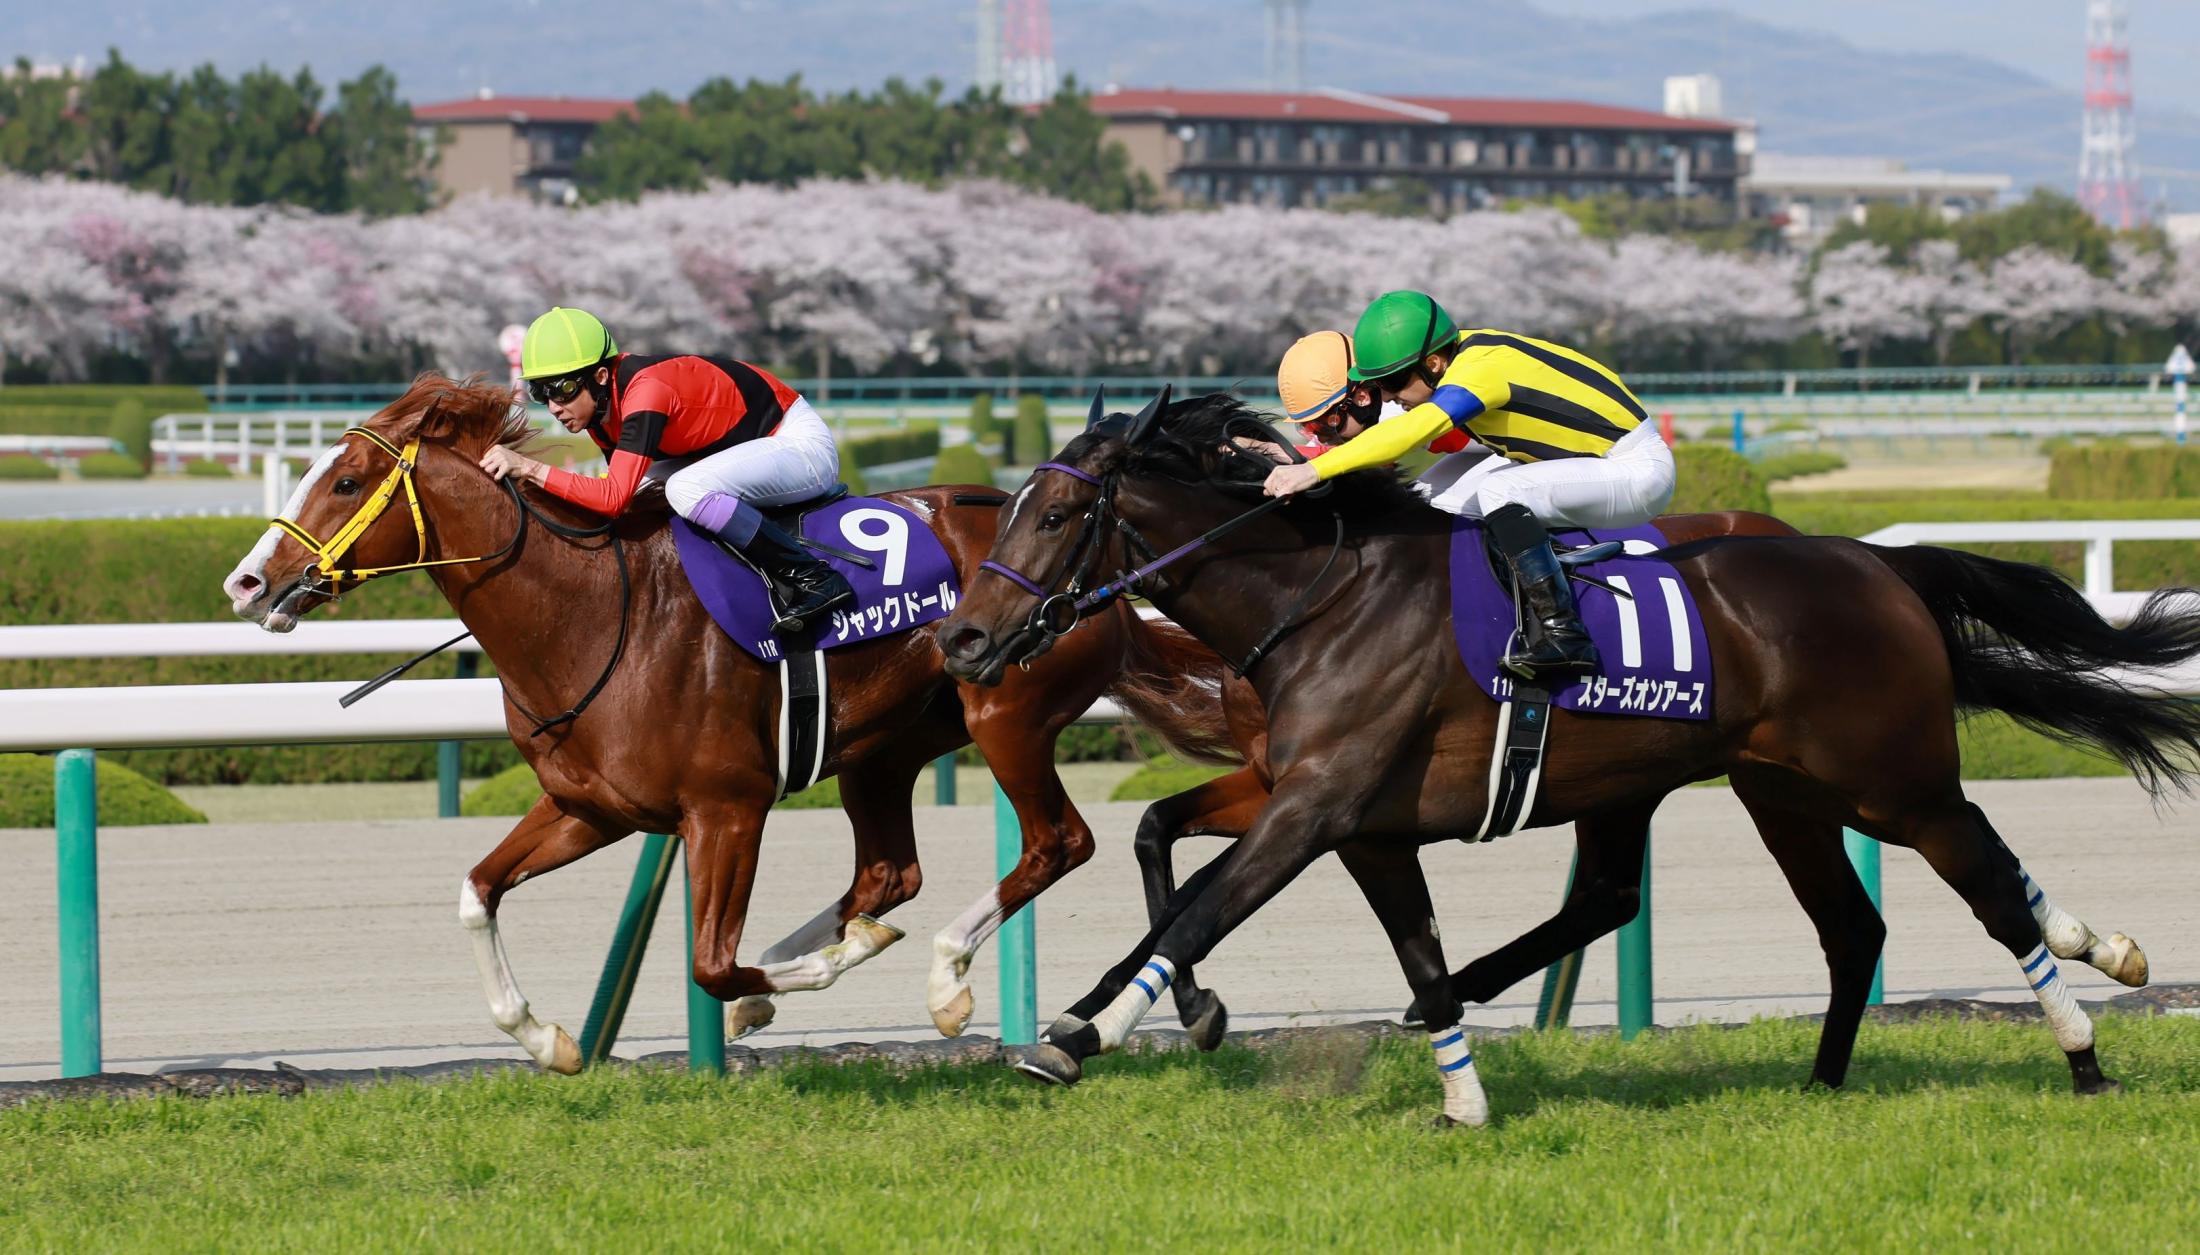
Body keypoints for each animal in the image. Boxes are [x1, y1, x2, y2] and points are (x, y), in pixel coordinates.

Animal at [221, 374, 1240, 1065]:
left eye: (345, 481)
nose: (247, 582)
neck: (592, 612)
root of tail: (1104, 585)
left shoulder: (726, 808)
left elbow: (713, 962)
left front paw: (818, 971)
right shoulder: (590, 808)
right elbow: (477, 892)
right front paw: (546, 1036)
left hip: (1006, 712)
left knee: (1055, 842)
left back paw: (942, 978)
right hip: (885, 744)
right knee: (889, 871)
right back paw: (818, 960)